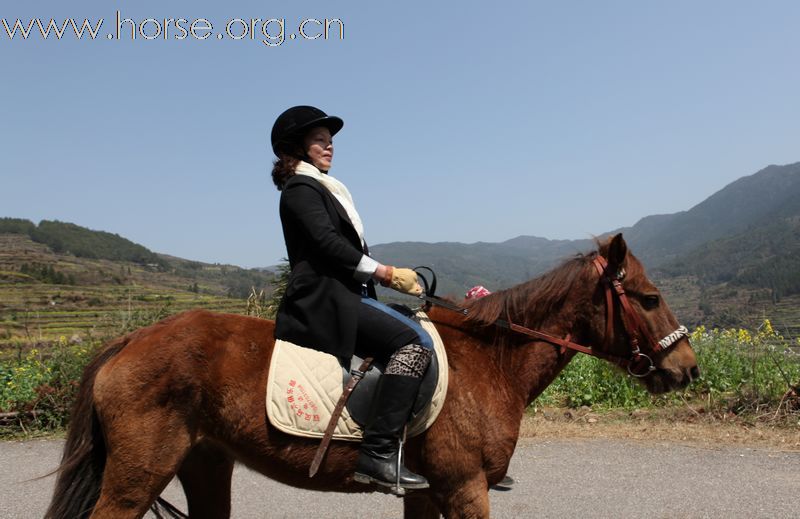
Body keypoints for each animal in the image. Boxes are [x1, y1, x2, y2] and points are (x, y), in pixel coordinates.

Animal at [43, 236, 696, 519]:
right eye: (650, 297)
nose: (687, 369)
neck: (492, 361)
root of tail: (131, 339)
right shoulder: (465, 488)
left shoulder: (431, 491)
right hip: (136, 478)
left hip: (205, 462)